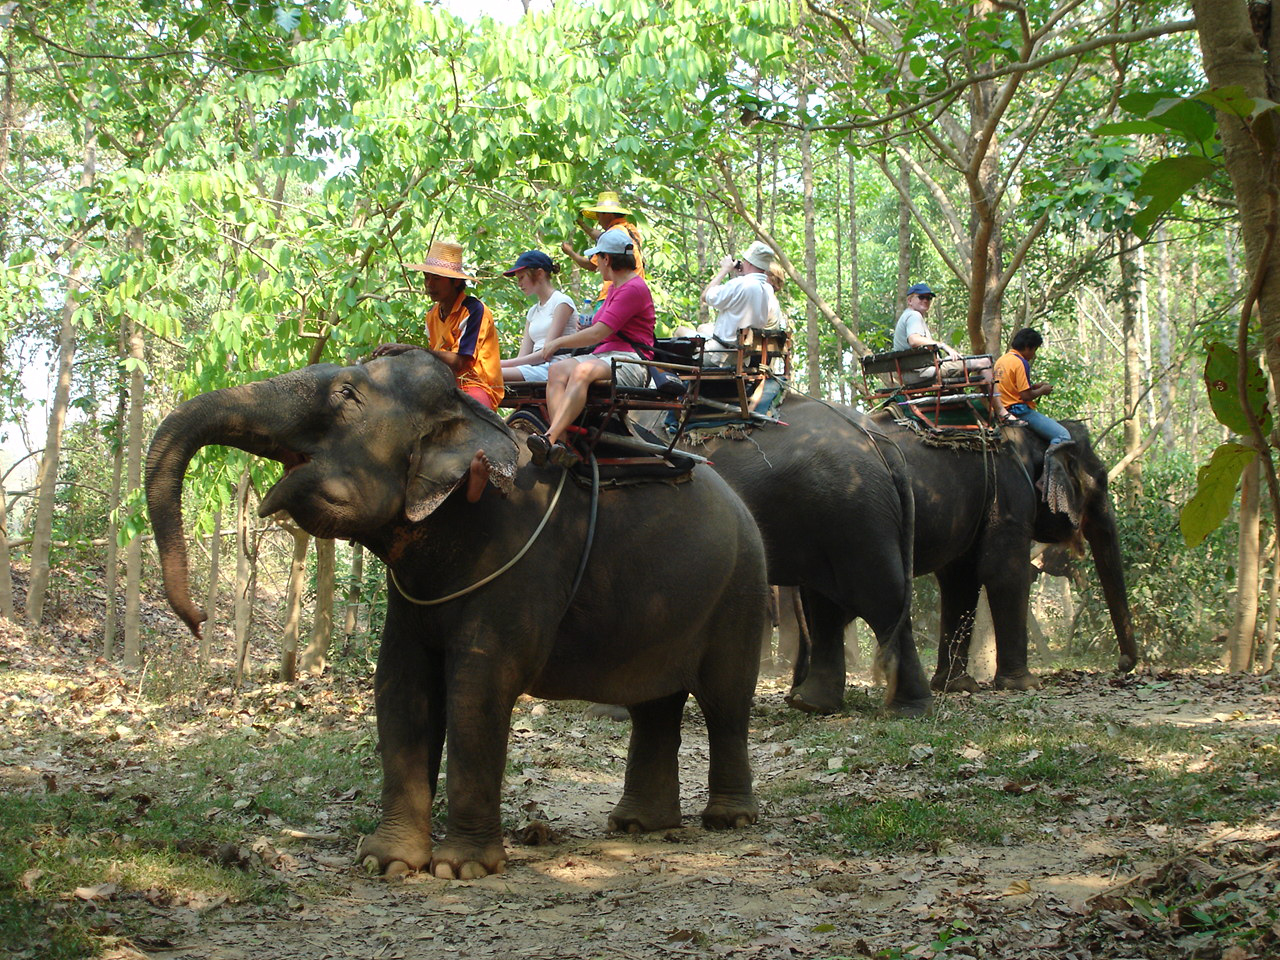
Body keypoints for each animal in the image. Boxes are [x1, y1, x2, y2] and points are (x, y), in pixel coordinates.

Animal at [148, 350, 768, 880]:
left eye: (346, 395)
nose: (197, 620)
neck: (469, 423)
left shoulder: (521, 560)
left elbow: (479, 684)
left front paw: (461, 869)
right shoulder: (413, 591)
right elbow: (400, 683)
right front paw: (386, 863)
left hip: (743, 587)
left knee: (725, 699)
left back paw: (728, 819)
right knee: (654, 702)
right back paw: (638, 825)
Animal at [793, 414, 1136, 706]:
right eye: (1102, 479)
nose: (1123, 666)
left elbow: (960, 582)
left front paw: (955, 686)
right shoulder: (1009, 494)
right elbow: (1004, 572)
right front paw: (1024, 685)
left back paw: (802, 696)